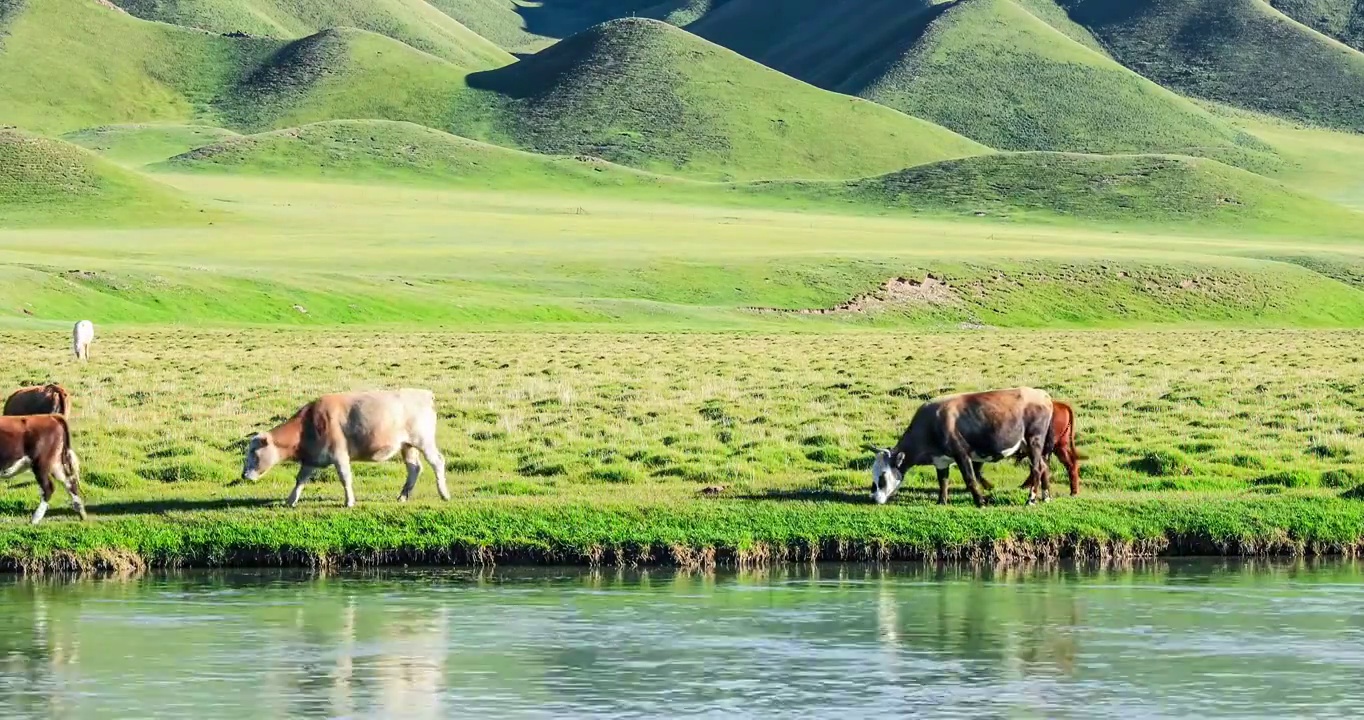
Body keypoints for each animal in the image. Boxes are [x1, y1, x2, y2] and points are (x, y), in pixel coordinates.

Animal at [242, 387, 450, 507]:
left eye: (254, 452)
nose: (244, 475)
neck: (308, 425)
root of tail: (424, 393)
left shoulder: (339, 455)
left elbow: (345, 478)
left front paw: (349, 502)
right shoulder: (312, 458)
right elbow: (300, 479)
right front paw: (291, 500)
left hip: (424, 441)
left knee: (437, 462)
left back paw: (444, 494)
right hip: (407, 446)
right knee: (414, 468)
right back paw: (403, 496)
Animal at [872, 387, 1053, 507]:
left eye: (882, 476)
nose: (874, 498)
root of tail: (1043, 395)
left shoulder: (961, 453)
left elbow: (970, 478)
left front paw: (980, 502)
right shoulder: (941, 461)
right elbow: (943, 481)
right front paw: (941, 502)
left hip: (1034, 439)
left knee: (1036, 469)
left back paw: (1031, 500)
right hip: (1028, 445)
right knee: (1044, 467)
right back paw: (1046, 496)